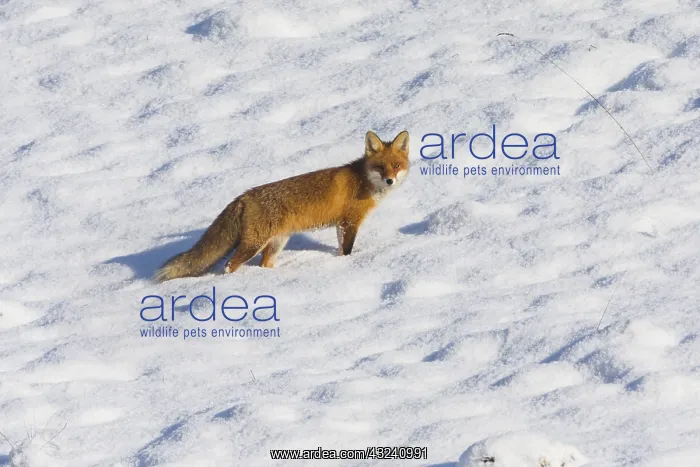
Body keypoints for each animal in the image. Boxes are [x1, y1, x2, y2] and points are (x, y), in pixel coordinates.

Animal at [153, 130, 410, 282]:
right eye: (380, 167)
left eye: (396, 166)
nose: (390, 180)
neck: (362, 181)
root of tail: (243, 196)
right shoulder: (348, 223)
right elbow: (345, 250)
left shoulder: (342, 224)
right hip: (253, 244)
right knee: (229, 265)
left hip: (276, 242)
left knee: (264, 264)